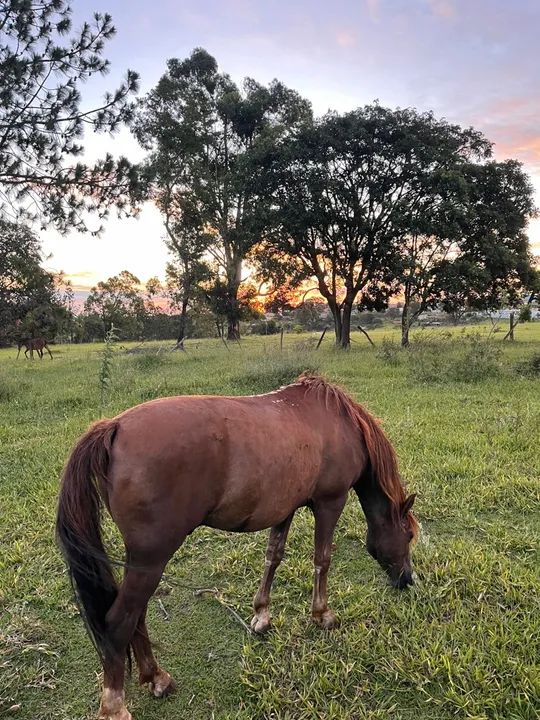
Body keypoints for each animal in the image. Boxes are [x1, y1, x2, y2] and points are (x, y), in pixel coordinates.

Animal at [56, 375, 418, 720]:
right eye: (410, 535)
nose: (407, 579)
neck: (338, 422)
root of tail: (114, 427)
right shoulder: (331, 502)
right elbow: (322, 559)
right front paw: (322, 614)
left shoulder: (285, 508)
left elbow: (273, 557)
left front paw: (262, 614)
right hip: (151, 559)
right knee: (120, 621)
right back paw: (115, 706)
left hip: (141, 563)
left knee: (137, 616)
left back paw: (155, 677)